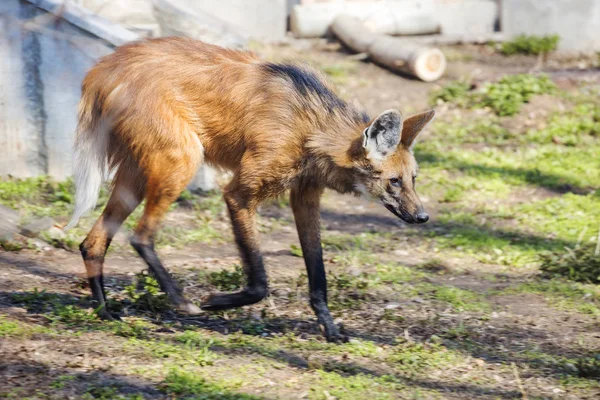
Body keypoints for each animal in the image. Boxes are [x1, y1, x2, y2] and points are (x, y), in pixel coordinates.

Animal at [68, 37, 434, 342]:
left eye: (413, 178)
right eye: (394, 181)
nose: (423, 216)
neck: (313, 129)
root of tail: (103, 67)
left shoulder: (305, 196)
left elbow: (318, 274)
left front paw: (330, 330)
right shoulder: (239, 193)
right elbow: (259, 281)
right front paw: (215, 301)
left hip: (137, 176)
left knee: (92, 242)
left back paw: (105, 312)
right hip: (182, 160)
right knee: (140, 236)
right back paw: (182, 301)